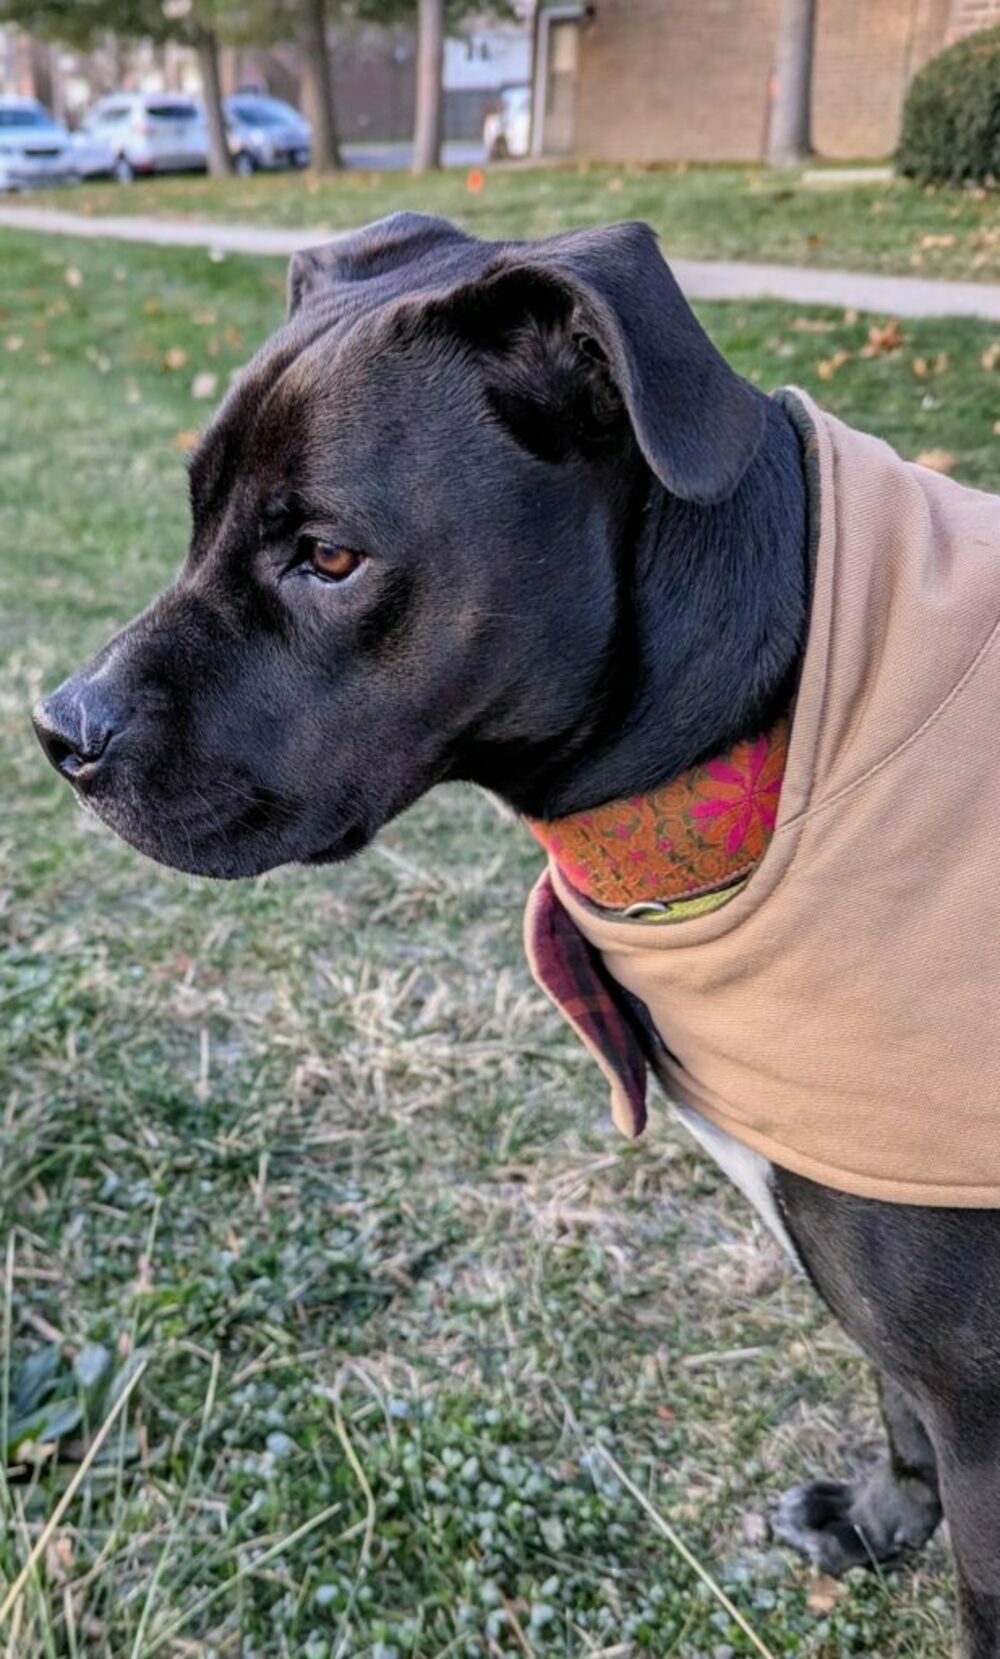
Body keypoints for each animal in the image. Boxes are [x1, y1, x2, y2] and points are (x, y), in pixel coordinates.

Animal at [31, 214, 1000, 1652]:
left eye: (329, 557)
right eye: (195, 510)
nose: (60, 730)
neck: (780, 733)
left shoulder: (981, 1391)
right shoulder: (903, 1324)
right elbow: (894, 1405)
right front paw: (876, 1525)